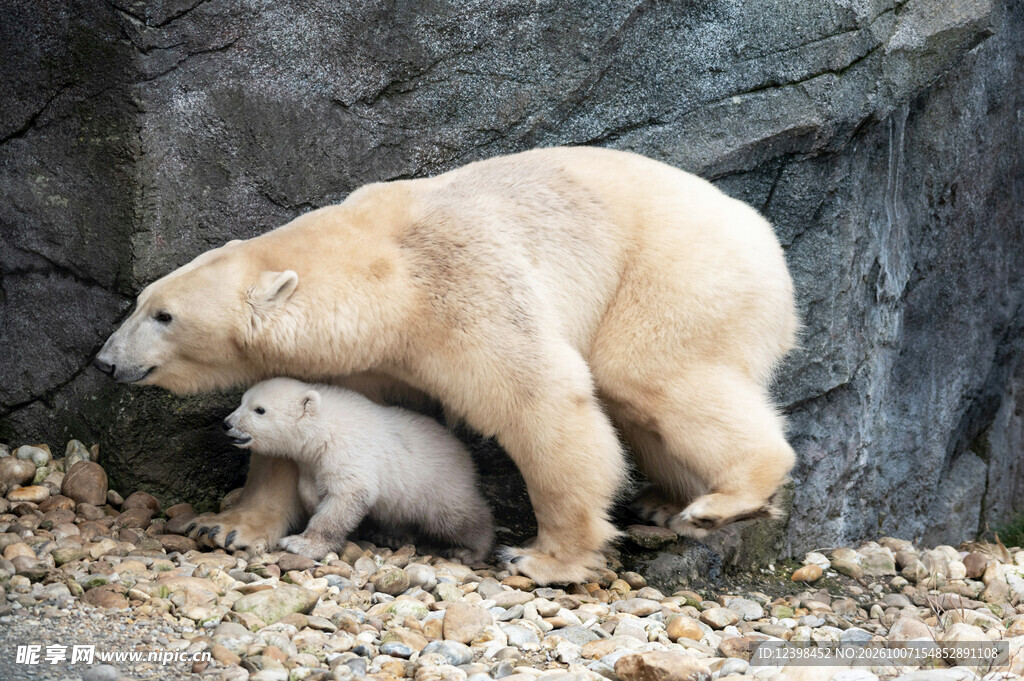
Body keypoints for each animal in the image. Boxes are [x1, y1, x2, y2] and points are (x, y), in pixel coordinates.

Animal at [222, 377, 495, 562]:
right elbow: (309, 488)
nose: (227, 424)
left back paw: (471, 549)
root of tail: (465, 455)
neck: (324, 427)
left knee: (458, 518)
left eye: (259, 410)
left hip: (438, 486)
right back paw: (392, 536)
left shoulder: (348, 452)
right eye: (241, 401)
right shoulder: (311, 462)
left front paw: (301, 543)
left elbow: (347, 497)